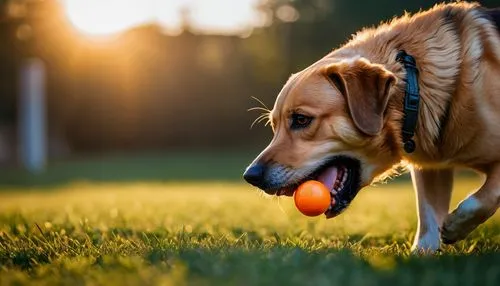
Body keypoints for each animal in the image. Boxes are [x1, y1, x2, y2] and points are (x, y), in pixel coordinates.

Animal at [242, 2, 500, 252]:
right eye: (274, 125)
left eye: (301, 119)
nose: (250, 176)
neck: (415, 86)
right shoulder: (431, 167)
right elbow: (427, 219)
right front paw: (423, 253)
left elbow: (483, 197)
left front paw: (456, 225)